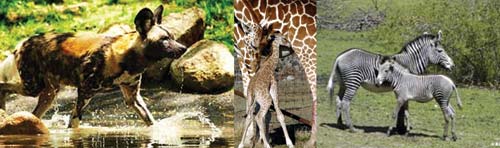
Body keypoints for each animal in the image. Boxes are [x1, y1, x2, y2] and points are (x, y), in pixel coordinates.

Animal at [0, 5, 187, 128]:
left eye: (172, 37)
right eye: (164, 39)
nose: (184, 48)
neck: (128, 58)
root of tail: (24, 41)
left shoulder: (132, 97)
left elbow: (151, 122)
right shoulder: (85, 92)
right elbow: (74, 123)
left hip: (49, 92)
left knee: (33, 115)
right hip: (32, 87)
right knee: (3, 87)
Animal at [326, 30, 456, 132]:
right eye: (440, 51)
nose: (453, 66)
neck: (409, 63)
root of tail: (341, 56)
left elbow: (403, 108)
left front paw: (400, 127)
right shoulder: (405, 87)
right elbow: (402, 109)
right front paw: (401, 129)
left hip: (344, 83)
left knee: (339, 100)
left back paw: (340, 124)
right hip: (353, 82)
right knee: (345, 102)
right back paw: (352, 128)